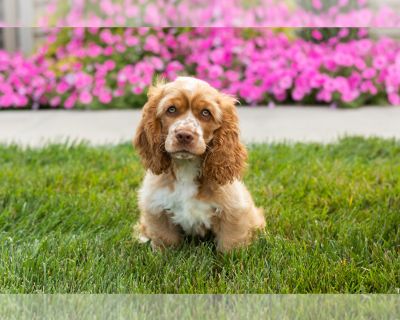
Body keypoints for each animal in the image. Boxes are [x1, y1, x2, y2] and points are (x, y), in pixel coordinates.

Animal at [134, 76, 266, 251]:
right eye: (171, 109)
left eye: (205, 113)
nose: (184, 135)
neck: (186, 167)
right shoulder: (156, 208)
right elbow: (165, 241)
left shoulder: (233, 211)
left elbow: (230, 244)